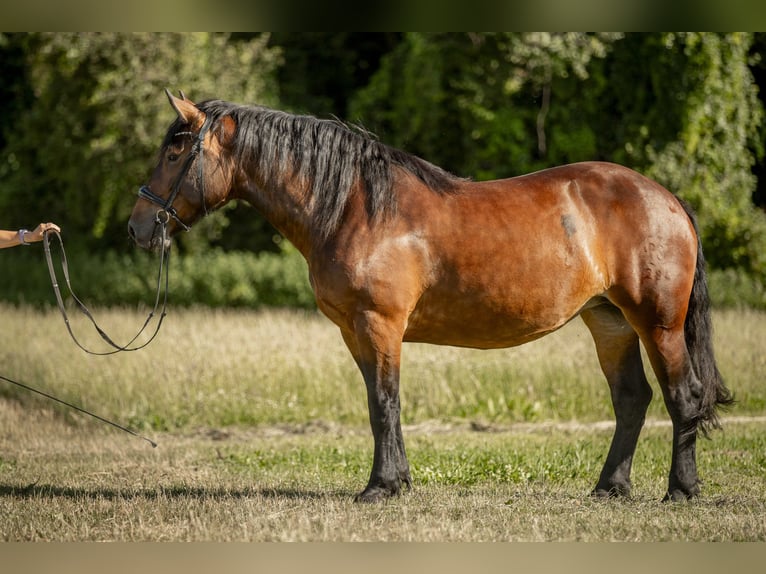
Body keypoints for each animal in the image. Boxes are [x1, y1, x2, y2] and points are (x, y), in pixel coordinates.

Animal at [129, 90, 733, 502]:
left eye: (175, 152)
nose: (138, 227)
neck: (355, 207)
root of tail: (666, 199)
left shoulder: (380, 324)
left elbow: (385, 402)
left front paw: (380, 487)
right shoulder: (355, 332)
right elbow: (378, 405)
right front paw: (395, 481)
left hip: (658, 323)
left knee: (684, 397)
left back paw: (681, 490)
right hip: (609, 322)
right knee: (631, 399)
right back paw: (610, 487)